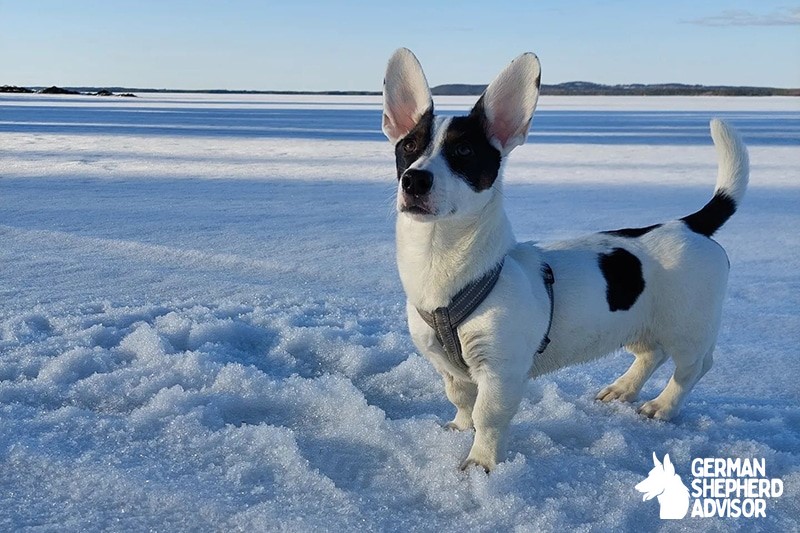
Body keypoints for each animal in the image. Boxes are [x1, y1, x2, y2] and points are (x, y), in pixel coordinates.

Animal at [382, 46, 752, 470]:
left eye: (463, 152)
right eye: (409, 147)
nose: (414, 180)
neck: (438, 259)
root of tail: (690, 224)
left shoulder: (501, 369)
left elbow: (488, 415)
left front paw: (481, 463)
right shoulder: (447, 364)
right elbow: (460, 399)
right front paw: (459, 430)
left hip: (688, 328)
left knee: (693, 367)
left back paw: (662, 405)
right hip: (636, 322)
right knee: (651, 353)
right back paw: (623, 389)